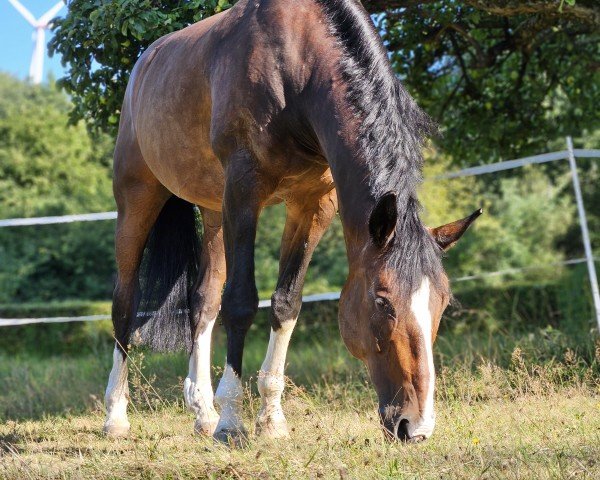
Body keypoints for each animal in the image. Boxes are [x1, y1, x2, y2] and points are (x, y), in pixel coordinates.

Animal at [102, 0, 478, 444]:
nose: (416, 427)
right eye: (382, 301)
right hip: (138, 197)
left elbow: (286, 303)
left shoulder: (312, 204)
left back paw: (203, 411)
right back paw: (117, 416)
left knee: (202, 301)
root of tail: (143, 65)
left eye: (442, 302)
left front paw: (271, 419)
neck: (297, 67)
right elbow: (241, 302)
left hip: (213, 211)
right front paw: (233, 421)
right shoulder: (244, 192)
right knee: (125, 303)